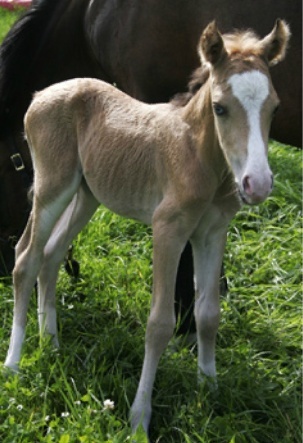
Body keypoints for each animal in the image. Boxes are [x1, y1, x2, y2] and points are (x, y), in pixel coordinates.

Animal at [4, 20, 290, 438]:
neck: (202, 157)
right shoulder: (167, 229)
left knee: (52, 254)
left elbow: (208, 314)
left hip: (88, 194)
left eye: (274, 107)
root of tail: (42, 94)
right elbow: (159, 324)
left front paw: (209, 390)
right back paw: (14, 362)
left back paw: (51, 343)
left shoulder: (212, 232)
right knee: (26, 257)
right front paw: (139, 419)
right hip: (52, 185)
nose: (258, 184)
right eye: (220, 108)